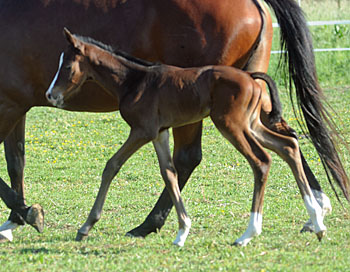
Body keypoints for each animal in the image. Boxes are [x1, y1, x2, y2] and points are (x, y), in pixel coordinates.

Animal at [45, 29, 326, 246]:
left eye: (67, 66)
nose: (50, 95)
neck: (134, 81)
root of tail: (250, 77)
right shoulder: (159, 133)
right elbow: (169, 174)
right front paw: (182, 232)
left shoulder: (142, 130)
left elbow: (112, 165)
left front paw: (86, 227)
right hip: (252, 124)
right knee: (288, 146)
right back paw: (317, 222)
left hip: (231, 125)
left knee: (262, 161)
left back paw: (248, 234)